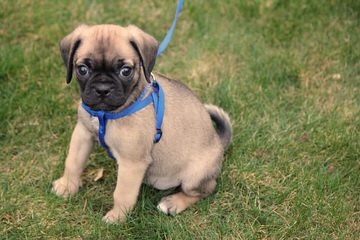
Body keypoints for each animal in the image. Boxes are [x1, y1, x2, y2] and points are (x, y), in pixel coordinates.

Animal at [52, 24, 233, 223]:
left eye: (125, 71)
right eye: (82, 69)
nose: (102, 89)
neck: (105, 114)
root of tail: (219, 142)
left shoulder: (132, 162)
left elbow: (122, 194)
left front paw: (117, 217)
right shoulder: (83, 134)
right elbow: (73, 162)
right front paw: (68, 185)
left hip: (194, 177)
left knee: (206, 190)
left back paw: (173, 203)